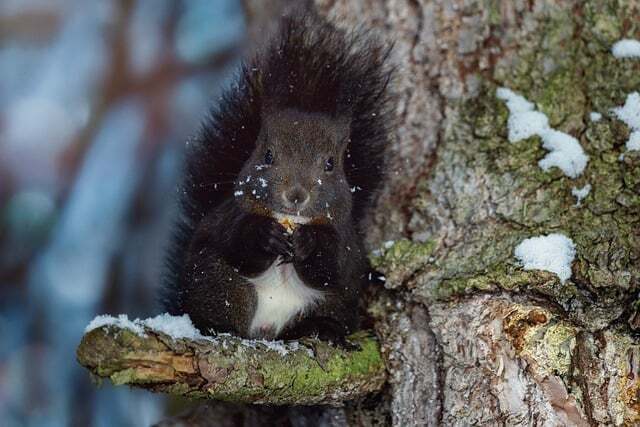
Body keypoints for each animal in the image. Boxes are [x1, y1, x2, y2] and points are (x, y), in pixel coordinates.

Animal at [162, 11, 392, 342]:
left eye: (331, 164)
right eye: (267, 156)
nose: (296, 195)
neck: (291, 221)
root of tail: (266, 331)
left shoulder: (345, 239)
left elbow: (332, 266)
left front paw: (311, 242)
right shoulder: (230, 218)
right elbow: (238, 246)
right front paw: (264, 235)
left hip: (335, 301)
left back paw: (320, 327)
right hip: (220, 282)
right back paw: (220, 327)